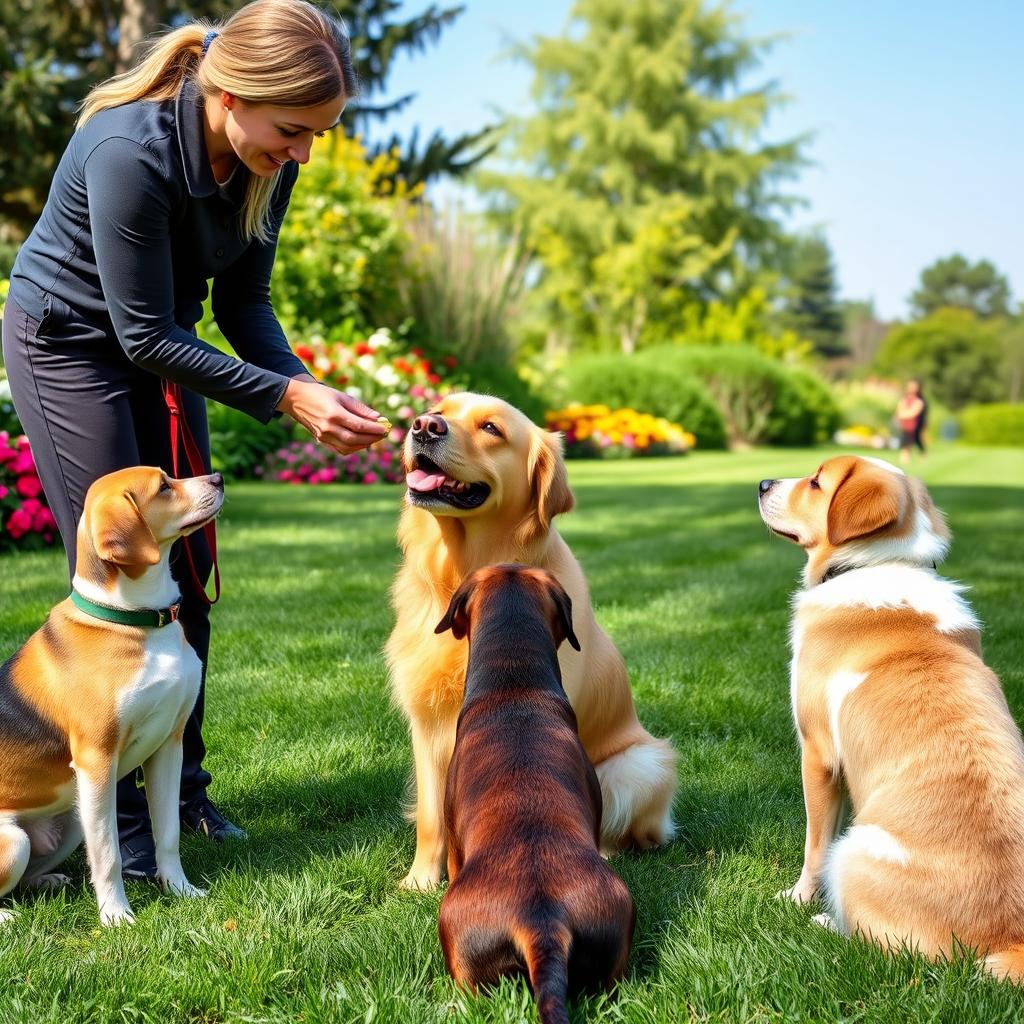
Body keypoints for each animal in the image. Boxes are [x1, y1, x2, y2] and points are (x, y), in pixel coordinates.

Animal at [0, 468, 223, 925]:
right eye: (164, 487)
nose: (218, 477)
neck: (135, 621)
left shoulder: (169, 746)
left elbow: (168, 834)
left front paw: (180, 890)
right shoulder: (96, 761)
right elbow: (108, 854)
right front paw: (117, 915)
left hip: (70, 820)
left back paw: (48, 881)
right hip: (19, 838)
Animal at [385, 391, 679, 888]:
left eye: (491, 428)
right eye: (439, 410)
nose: (424, 426)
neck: (460, 570)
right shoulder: (426, 723)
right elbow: (431, 816)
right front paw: (421, 880)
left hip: (642, 762)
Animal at [757, 458, 1024, 983]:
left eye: (816, 482)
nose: (761, 483)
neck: (876, 564)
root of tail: (1010, 941)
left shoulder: (817, 754)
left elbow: (813, 846)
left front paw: (797, 899)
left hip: (853, 850)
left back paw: (825, 921)